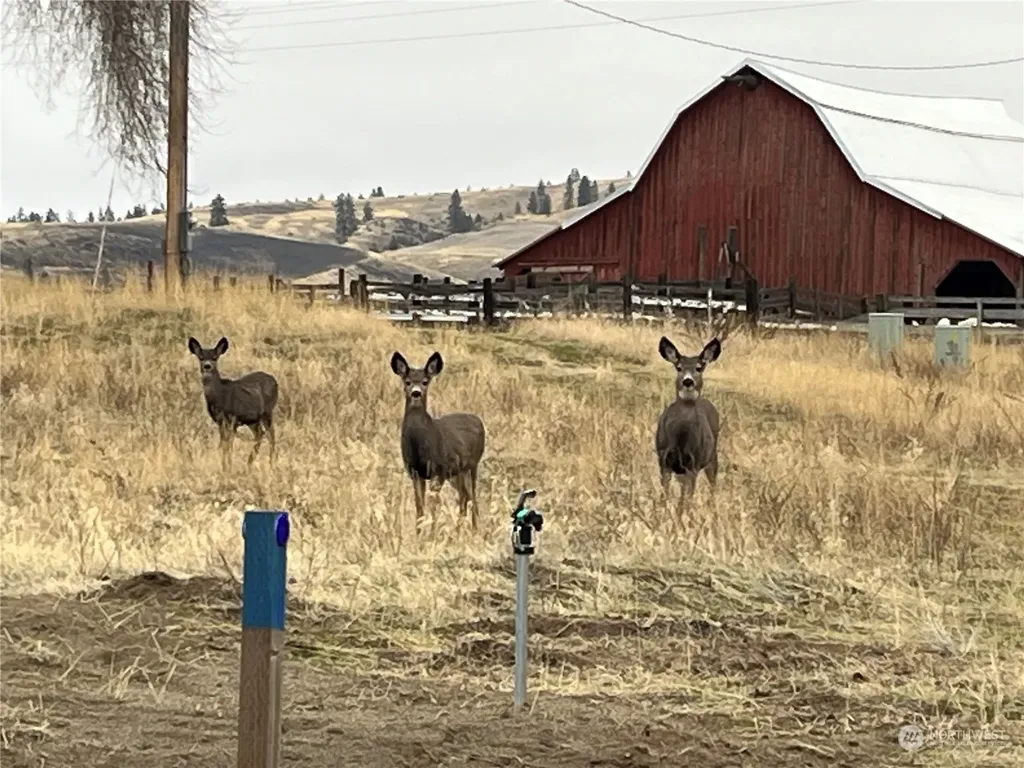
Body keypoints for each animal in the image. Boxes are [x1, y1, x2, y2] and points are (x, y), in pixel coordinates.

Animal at [187, 336, 279, 470]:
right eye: (201, 357)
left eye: (215, 357)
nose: (207, 366)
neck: (220, 397)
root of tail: (274, 380)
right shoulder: (220, 421)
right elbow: (223, 445)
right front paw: (224, 467)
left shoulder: (232, 420)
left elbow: (228, 446)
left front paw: (228, 467)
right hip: (252, 419)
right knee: (260, 434)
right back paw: (249, 462)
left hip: (267, 412)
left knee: (271, 435)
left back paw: (271, 464)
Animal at [390, 350, 486, 533]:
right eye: (407, 381)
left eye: (425, 381)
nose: (416, 392)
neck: (420, 444)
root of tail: (478, 420)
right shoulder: (415, 471)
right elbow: (420, 506)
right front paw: (419, 532)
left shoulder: (438, 469)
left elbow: (433, 505)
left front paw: (432, 533)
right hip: (456, 472)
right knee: (464, 495)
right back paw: (459, 529)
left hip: (472, 465)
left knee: (473, 498)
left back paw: (475, 530)